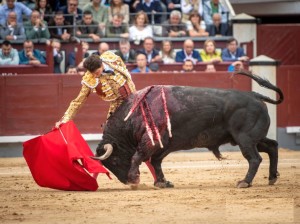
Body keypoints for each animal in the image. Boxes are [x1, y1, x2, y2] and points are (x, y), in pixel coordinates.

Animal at [94, 71, 284, 188]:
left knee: (254, 158)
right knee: (272, 146)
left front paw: (135, 179)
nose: (126, 181)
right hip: (251, 138)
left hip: (245, 139)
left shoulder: (150, 141)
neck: (133, 116)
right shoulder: (165, 145)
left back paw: (244, 182)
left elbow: (137, 157)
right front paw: (162, 183)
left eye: (115, 161)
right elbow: (156, 162)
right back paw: (272, 177)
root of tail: (255, 95)